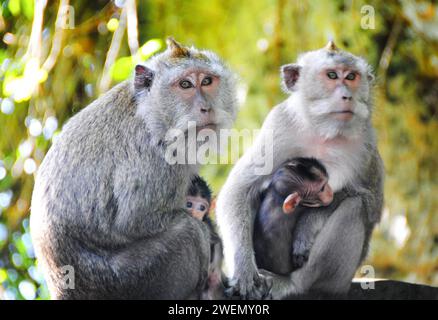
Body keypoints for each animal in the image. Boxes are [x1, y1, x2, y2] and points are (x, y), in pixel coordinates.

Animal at [29, 38, 238, 300]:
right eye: (185, 84)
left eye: (207, 81)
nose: (206, 108)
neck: (151, 113)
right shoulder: (154, 158)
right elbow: (135, 220)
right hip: (129, 281)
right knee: (190, 231)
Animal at [216, 40, 384, 300]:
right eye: (332, 75)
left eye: (351, 76)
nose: (347, 96)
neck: (324, 131)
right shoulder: (279, 124)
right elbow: (240, 189)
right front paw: (244, 271)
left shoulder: (366, 144)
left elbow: (370, 203)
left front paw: (307, 224)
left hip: (338, 280)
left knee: (354, 208)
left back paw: (293, 284)